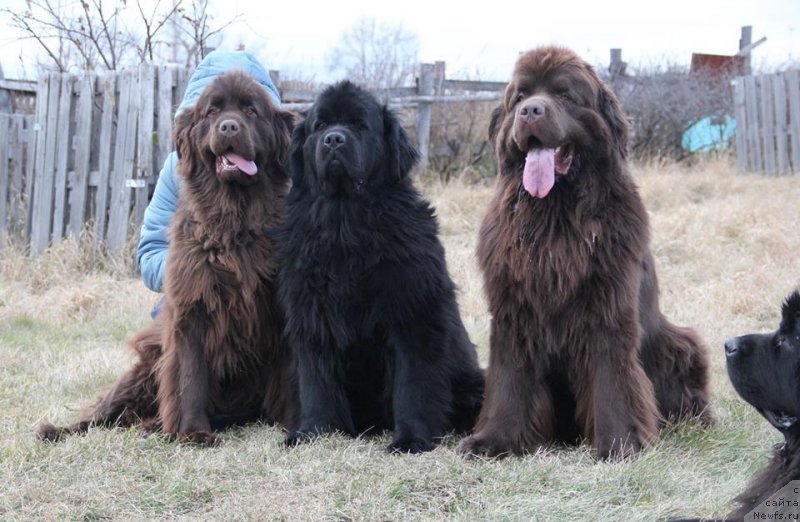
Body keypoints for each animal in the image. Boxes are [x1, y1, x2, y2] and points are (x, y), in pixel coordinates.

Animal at [37, 71, 296, 440]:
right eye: (212, 112)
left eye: (251, 110)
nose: (229, 127)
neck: (235, 219)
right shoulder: (193, 309)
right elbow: (190, 377)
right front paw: (194, 433)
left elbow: (293, 377)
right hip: (145, 368)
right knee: (107, 410)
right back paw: (61, 430)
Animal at [278, 80, 484, 450]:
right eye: (320, 126)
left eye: (360, 125)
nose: (334, 139)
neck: (345, 226)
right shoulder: (311, 316)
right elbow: (315, 380)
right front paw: (312, 432)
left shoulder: (413, 315)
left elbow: (413, 384)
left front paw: (411, 439)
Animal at [456, 46, 712, 458]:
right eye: (520, 97)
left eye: (564, 95)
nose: (530, 111)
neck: (555, 216)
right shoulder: (513, 311)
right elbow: (509, 379)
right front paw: (492, 440)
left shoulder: (607, 307)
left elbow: (612, 379)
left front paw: (619, 444)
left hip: (678, 343)